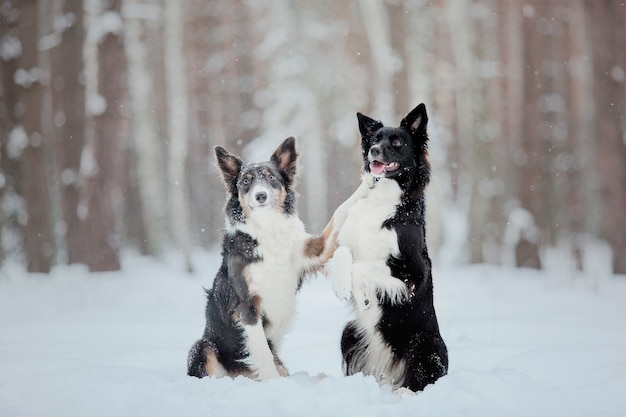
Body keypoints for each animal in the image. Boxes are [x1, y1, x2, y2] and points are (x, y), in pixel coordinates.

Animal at [185, 137, 332, 380]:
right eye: (246, 181)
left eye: (271, 177)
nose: (260, 195)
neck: (267, 227)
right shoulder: (247, 305)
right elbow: (262, 352)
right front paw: (274, 383)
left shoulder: (307, 256)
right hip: (203, 346)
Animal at [326, 103, 448, 390]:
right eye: (374, 139)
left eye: (396, 142)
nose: (373, 150)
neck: (383, 198)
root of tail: (390, 374)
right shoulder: (346, 238)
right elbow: (343, 253)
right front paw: (341, 281)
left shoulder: (412, 271)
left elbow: (364, 266)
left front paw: (351, 288)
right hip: (349, 334)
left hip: (425, 343)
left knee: (419, 382)